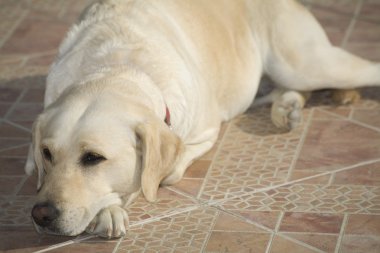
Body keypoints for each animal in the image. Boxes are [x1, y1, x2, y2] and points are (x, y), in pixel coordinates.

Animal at [24, 0, 380, 238]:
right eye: (47, 153)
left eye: (93, 158)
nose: (41, 214)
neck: (117, 66)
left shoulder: (204, 133)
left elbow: (166, 173)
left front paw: (112, 207)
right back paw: (286, 108)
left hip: (304, 64)